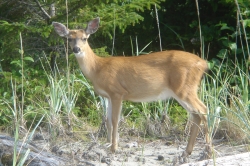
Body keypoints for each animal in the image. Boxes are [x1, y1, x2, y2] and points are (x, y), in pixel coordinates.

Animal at [52, 17, 211, 160]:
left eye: (84, 38)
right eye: (69, 39)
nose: (76, 49)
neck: (97, 68)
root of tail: (203, 63)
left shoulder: (117, 92)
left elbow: (115, 120)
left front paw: (114, 148)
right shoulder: (108, 96)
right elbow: (107, 121)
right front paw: (110, 145)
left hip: (184, 87)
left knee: (203, 109)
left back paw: (208, 152)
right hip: (183, 90)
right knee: (196, 114)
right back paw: (187, 152)